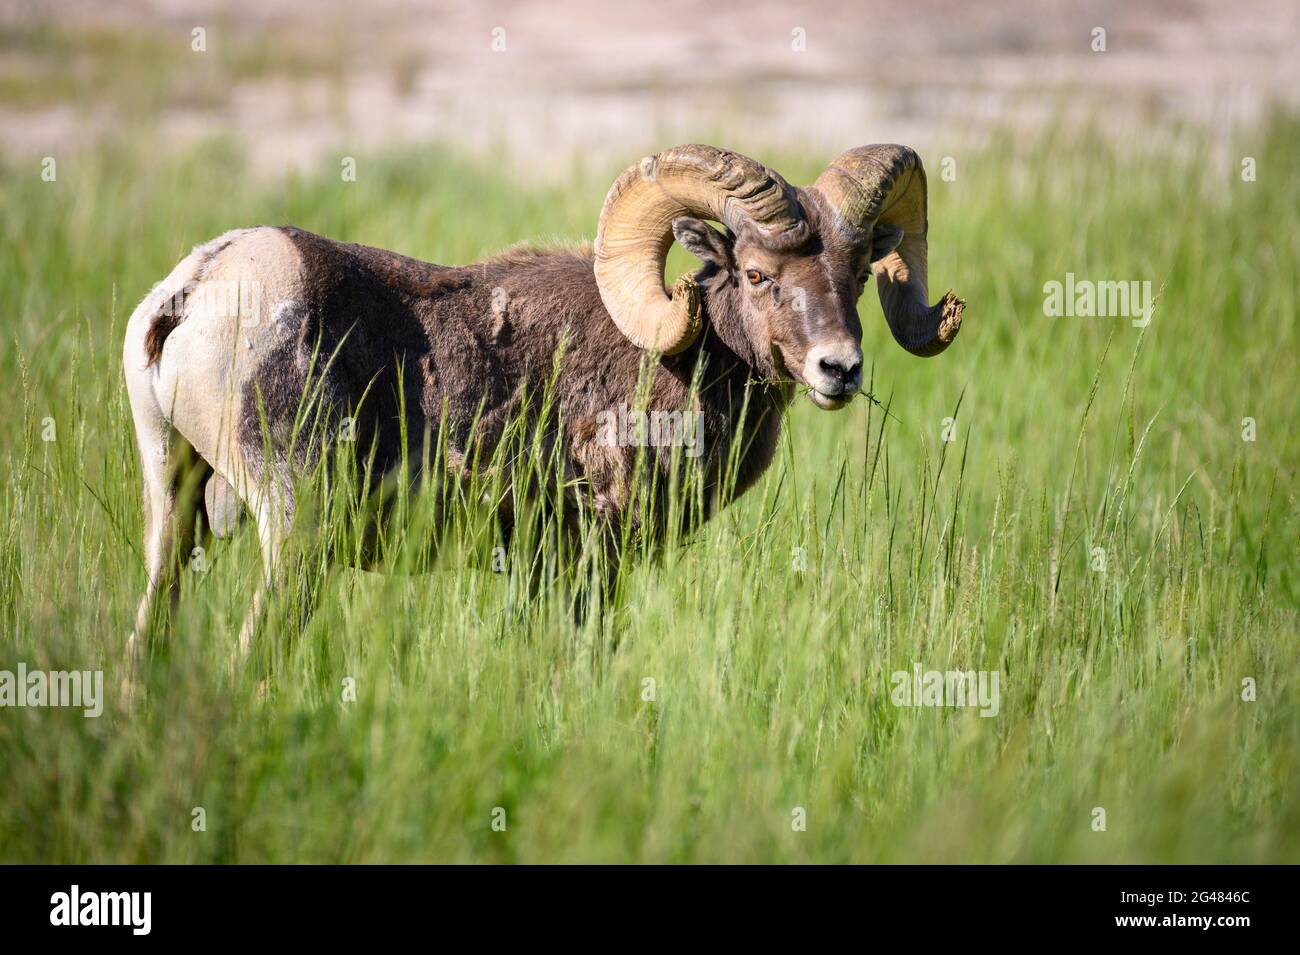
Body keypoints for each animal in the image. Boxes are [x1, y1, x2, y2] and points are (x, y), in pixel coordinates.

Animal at [126, 145, 967, 660]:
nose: (839, 368)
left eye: (857, 275)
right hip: (298, 534)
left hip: (174, 510)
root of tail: (196, 290)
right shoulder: (585, 555)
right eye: (758, 275)